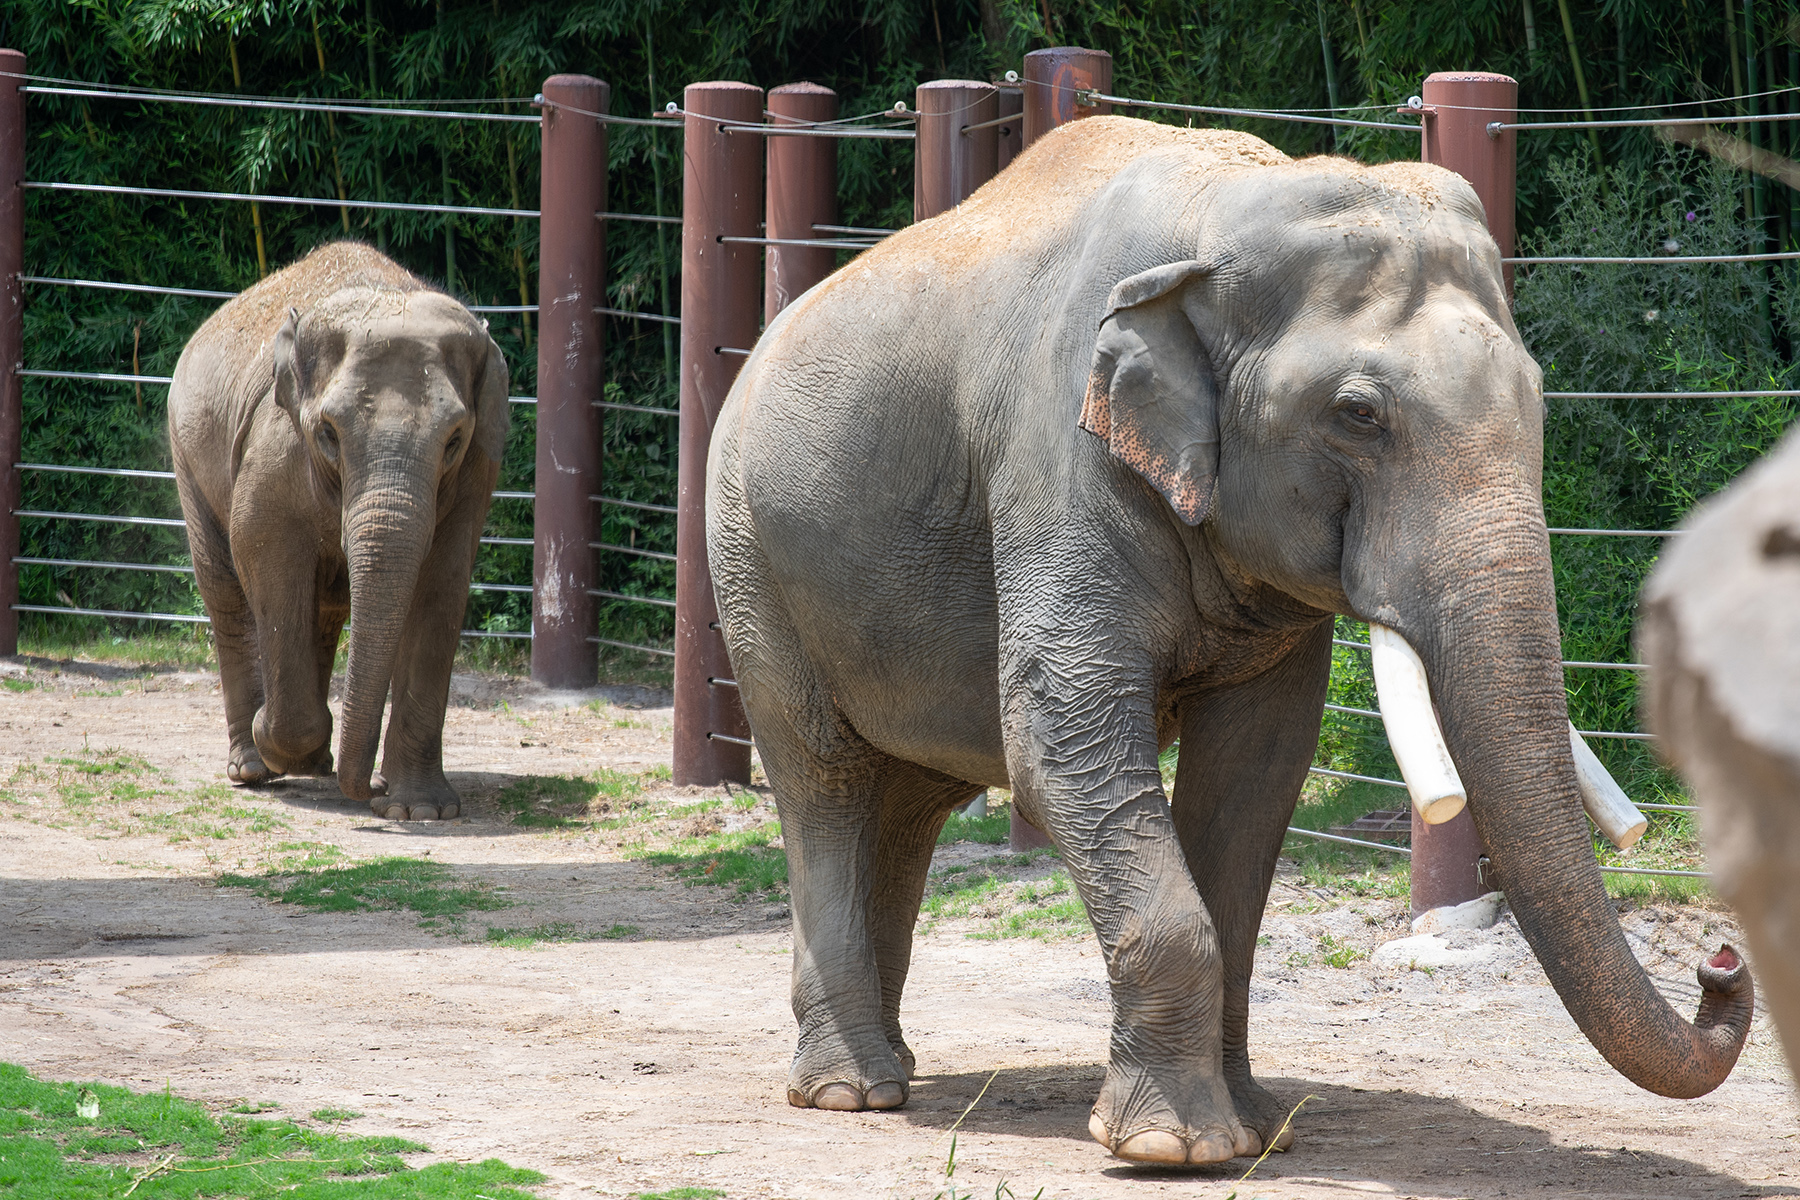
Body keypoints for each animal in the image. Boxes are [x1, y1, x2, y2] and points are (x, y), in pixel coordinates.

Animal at [169, 244, 507, 827]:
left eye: (454, 439)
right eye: (328, 432)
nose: (371, 786)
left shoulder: (475, 469)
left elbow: (443, 582)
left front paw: (419, 810)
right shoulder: (276, 449)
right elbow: (266, 557)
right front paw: (276, 738)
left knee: (322, 613)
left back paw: (317, 764)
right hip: (186, 453)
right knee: (226, 591)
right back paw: (256, 768)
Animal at [705, 119, 1756, 1165]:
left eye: (1538, 399)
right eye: (1358, 415)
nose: (1721, 964)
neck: (1219, 218)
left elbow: (1259, 766)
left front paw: (1256, 1131)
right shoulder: (1060, 459)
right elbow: (1059, 736)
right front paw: (1172, 1149)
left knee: (909, 801)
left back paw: (900, 1069)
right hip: (750, 559)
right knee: (826, 781)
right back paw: (852, 1093)